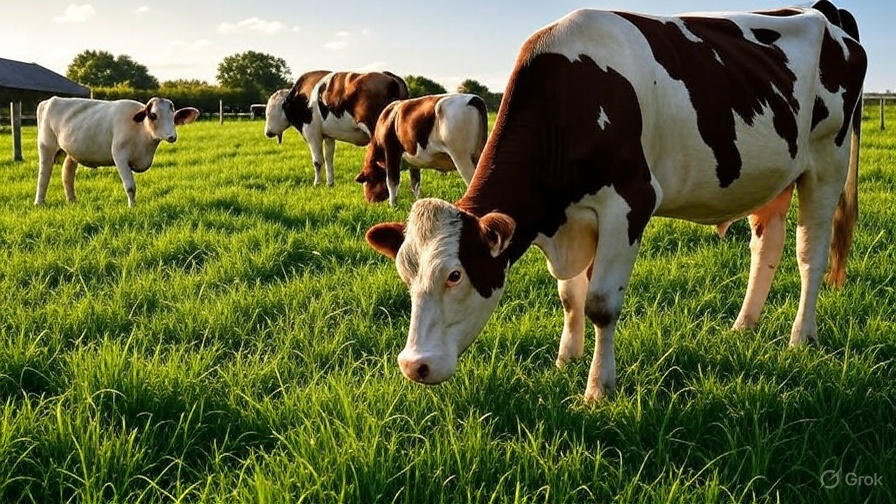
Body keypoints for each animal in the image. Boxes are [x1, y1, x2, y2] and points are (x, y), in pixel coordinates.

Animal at [34, 97, 199, 207]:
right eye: (153, 115)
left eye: (173, 116)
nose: (172, 136)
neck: (142, 132)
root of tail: (49, 100)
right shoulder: (120, 156)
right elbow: (130, 186)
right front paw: (132, 207)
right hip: (46, 146)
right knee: (43, 177)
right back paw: (39, 203)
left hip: (71, 152)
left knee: (67, 174)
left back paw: (72, 201)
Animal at [264, 70, 409, 186]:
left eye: (270, 113)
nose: (267, 132)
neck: (301, 98)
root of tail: (390, 77)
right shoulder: (329, 136)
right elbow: (328, 159)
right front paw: (330, 183)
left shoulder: (312, 133)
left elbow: (317, 161)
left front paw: (316, 184)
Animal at [354, 93, 489, 206]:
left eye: (368, 179)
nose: (370, 201)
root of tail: (473, 98)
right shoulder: (414, 163)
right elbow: (415, 183)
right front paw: (417, 201)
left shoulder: (391, 152)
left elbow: (392, 181)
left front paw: (392, 206)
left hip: (462, 157)